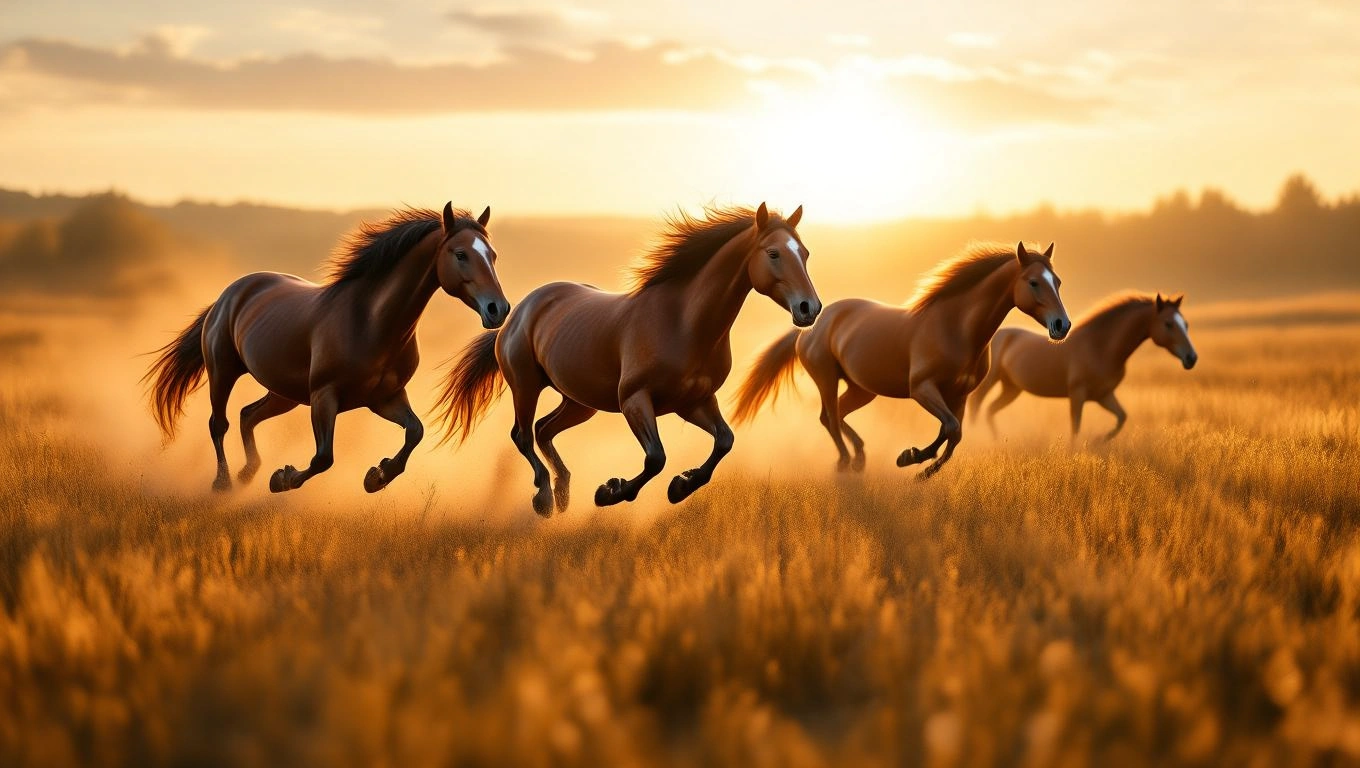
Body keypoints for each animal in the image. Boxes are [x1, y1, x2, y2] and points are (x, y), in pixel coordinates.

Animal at [143, 204, 509, 494]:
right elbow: (323, 458)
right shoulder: (324, 396)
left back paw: (248, 473)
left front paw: (377, 476)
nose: (498, 309)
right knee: (219, 424)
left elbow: (415, 432)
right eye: (460, 254)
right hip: (223, 372)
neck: (370, 323)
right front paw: (283, 478)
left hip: (285, 393)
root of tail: (231, 292)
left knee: (248, 415)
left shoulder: (385, 398)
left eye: (493, 255)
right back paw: (224, 483)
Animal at [433, 203, 820, 515]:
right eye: (774, 253)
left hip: (580, 402)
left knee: (543, 429)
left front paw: (681, 486)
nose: (809, 308)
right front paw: (610, 492)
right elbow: (656, 457)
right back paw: (544, 498)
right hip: (526, 386)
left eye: (804, 253)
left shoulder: (694, 402)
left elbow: (724, 441)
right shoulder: (635, 400)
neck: (682, 322)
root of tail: (519, 309)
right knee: (523, 435)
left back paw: (563, 491)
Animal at [733, 242, 1071, 478]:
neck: (955, 327)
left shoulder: (960, 395)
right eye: (1034, 282)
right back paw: (846, 462)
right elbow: (950, 428)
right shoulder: (922, 389)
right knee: (828, 416)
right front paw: (912, 459)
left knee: (838, 414)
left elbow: (954, 434)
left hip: (862, 389)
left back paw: (860, 458)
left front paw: (920, 467)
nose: (1062, 325)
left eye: (1057, 281)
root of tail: (813, 322)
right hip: (826, 377)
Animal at [969, 292, 1197, 440]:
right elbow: (1075, 429)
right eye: (1168, 324)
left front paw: (1098, 441)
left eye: (1185, 324)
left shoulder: (1104, 395)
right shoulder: (1077, 394)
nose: (1191, 358)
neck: (1101, 347)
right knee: (976, 406)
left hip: (1012, 388)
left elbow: (1121, 418)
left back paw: (996, 441)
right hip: (990, 382)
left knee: (990, 410)